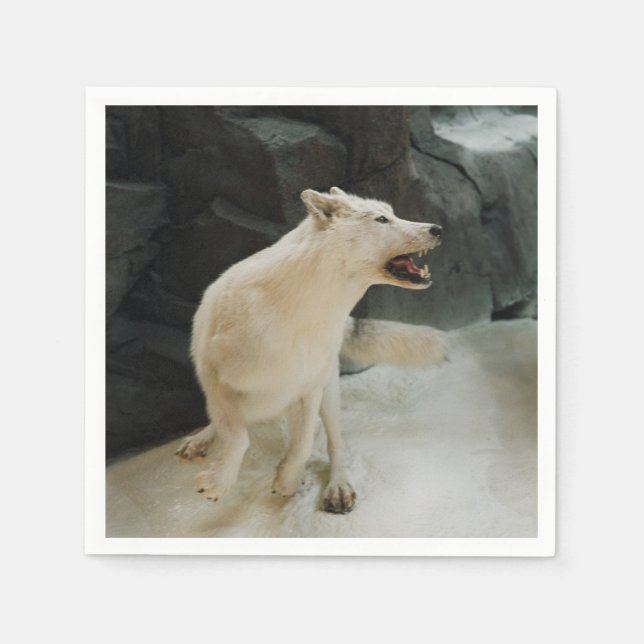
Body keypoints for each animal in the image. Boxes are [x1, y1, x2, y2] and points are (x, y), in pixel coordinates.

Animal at [176, 187, 446, 513]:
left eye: (392, 214)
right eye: (382, 219)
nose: (438, 229)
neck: (301, 317)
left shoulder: (309, 388)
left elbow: (303, 444)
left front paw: (287, 479)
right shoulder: (215, 378)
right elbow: (237, 436)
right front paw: (218, 482)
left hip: (329, 392)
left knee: (334, 443)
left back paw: (337, 486)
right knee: (224, 423)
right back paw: (200, 441)